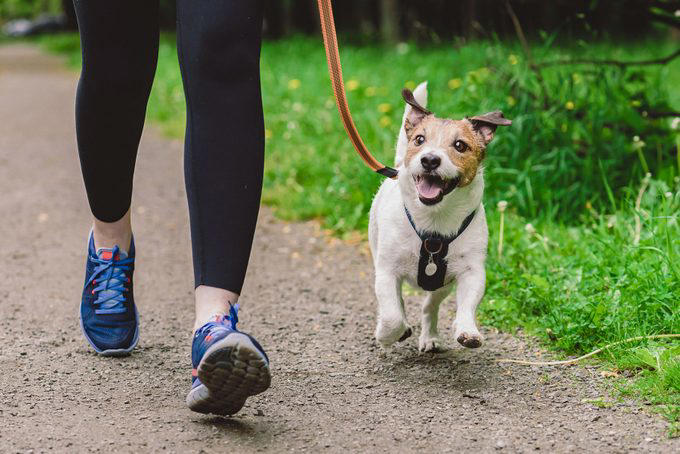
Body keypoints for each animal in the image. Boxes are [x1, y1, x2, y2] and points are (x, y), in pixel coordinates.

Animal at [366, 83, 510, 352]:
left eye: (460, 145)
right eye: (419, 140)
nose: (430, 159)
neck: (434, 221)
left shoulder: (471, 272)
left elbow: (467, 304)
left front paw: (467, 330)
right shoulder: (387, 271)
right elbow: (392, 315)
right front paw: (387, 334)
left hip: (442, 285)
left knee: (429, 306)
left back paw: (430, 336)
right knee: (398, 304)